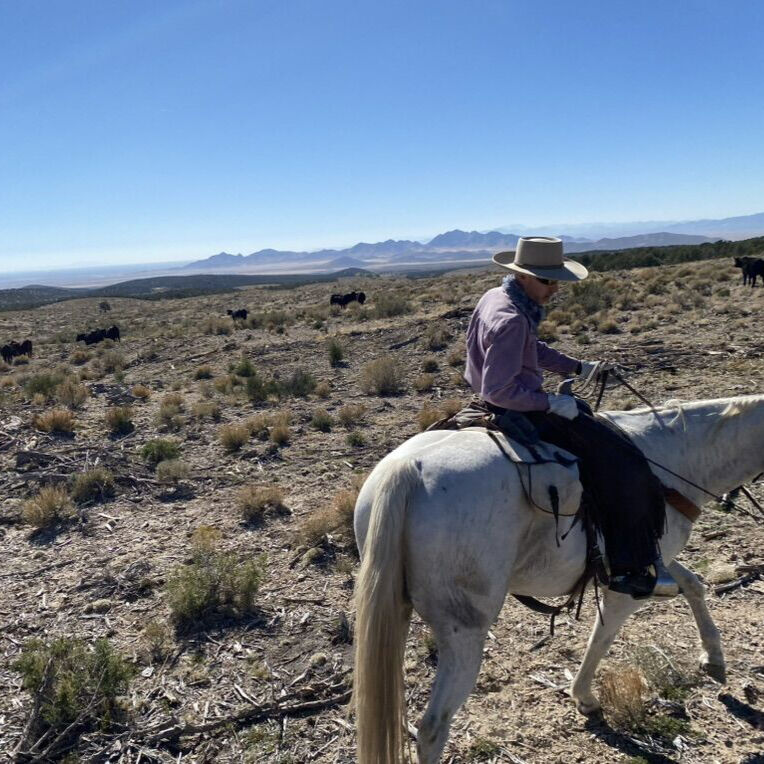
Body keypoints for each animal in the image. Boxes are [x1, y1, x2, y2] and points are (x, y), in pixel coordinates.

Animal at [353, 394, 764, 764]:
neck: (674, 457)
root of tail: (405, 472)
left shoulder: (653, 559)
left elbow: (693, 584)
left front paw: (713, 657)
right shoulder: (629, 583)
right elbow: (601, 637)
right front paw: (584, 697)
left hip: (394, 611)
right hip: (464, 633)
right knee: (432, 729)